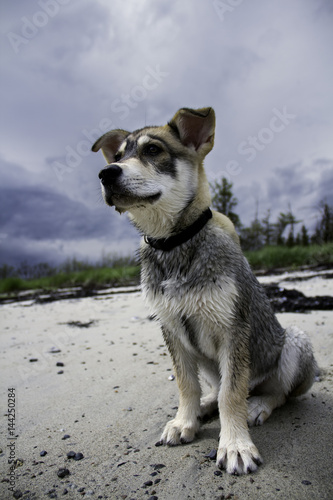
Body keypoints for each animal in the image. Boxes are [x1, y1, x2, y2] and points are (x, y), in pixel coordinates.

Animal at [91, 107, 316, 474]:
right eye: (120, 155)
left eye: (152, 150)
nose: (106, 173)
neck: (174, 245)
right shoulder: (171, 327)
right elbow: (186, 384)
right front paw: (185, 421)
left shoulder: (232, 327)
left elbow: (232, 393)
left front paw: (235, 444)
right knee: (215, 386)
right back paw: (205, 405)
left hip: (295, 343)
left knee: (274, 392)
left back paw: (257, 405)